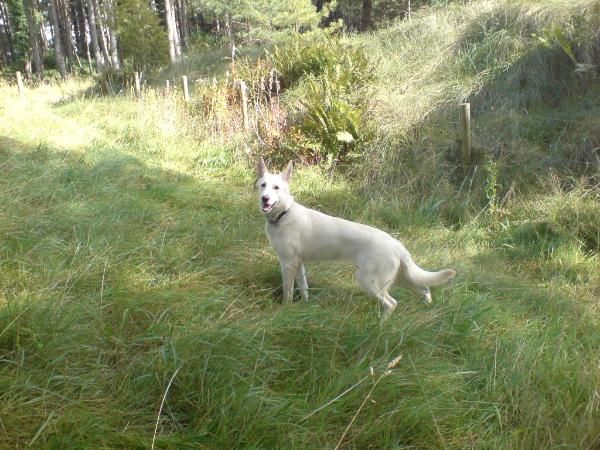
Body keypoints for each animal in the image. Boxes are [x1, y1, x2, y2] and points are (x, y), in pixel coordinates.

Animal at [255, 158, 458, 320]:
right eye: (263, 185)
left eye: (276, 188)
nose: (265, 199)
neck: (283, 214)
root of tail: (398, 245)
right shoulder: (299, 264)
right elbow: (304, 288)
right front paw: (304, 307)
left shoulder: (288, 264)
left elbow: (288, 292)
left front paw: (285, 310)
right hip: (400, 278)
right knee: (425, 290)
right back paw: (428, 312)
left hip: (369, 281)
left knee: (392, 303)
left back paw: (381, 325)